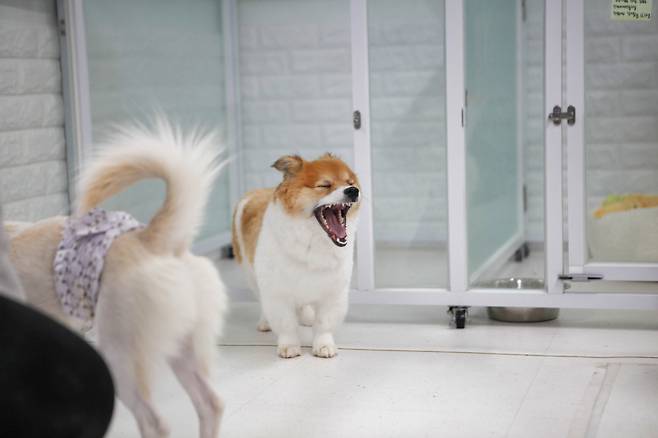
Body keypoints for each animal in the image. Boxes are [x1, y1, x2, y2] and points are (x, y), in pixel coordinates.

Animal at [232, 154, 358, 360]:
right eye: (325, 185)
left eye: (350, 183)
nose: (353, 191)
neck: (312, 240)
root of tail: (254, 193)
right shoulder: (277, 292)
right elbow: (286, 324)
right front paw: (289, 346)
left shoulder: (333, 291)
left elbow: (324, 324)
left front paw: (323, 345)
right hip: (251, 274)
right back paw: (265, 322)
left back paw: (307, 317)